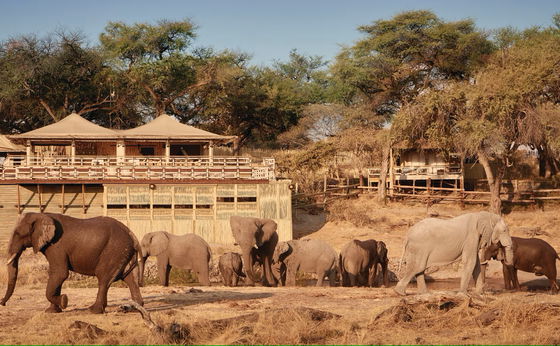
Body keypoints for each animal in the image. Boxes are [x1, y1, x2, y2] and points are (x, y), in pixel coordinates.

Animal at [1, 214, 144, 314]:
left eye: (18, 234)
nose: (2, 303)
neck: (40, 215)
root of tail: (132, 235)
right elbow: (56, 275)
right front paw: (52, 311)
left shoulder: (56, 246)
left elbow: (60, 273)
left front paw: (64, 301)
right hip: (124, 252)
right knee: (130, 279)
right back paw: (134, 309)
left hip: (114, 250)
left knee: (104, 278)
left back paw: (93, 310)